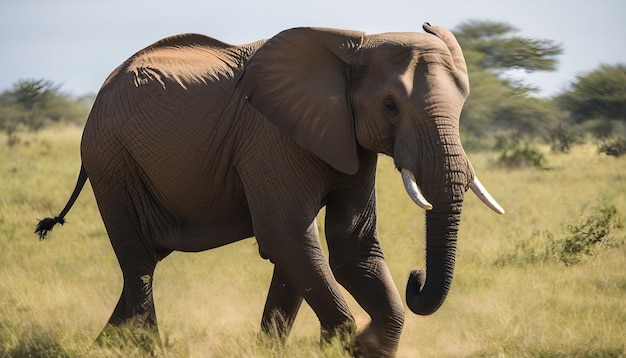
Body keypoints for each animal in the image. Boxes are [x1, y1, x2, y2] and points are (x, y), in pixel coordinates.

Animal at [35, 23, 502, 356]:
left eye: (463, 104)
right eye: (390, 106)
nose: (415, 277)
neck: (356, 44)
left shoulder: (349, 141)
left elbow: (347, 246)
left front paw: (358, 343)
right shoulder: (270, 138)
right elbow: (287, 236)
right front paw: (345, 343)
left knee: (144, 261)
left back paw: (102, 346)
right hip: (112, 161)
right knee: (138, 262)